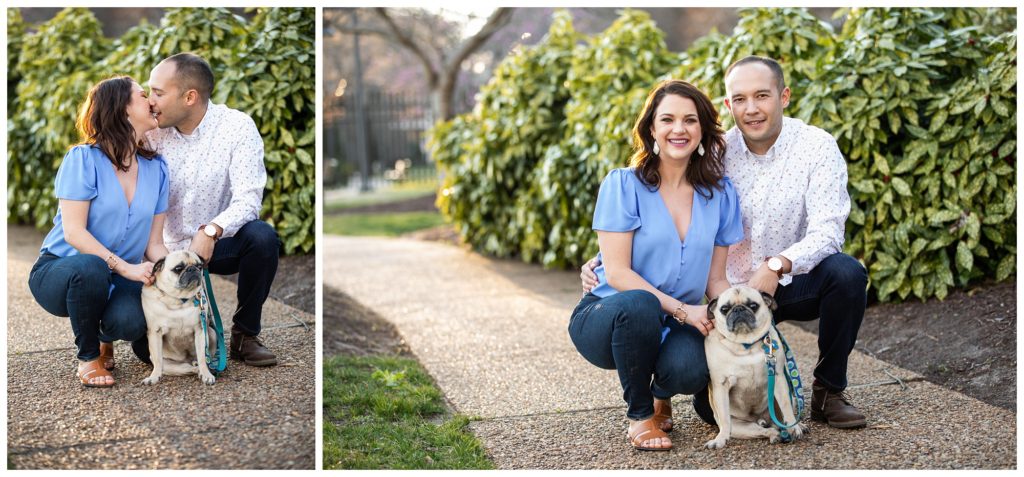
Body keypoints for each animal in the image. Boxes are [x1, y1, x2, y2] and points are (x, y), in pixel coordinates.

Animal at [141, 251, 217, 384]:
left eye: (199, 266)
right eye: (178, 268)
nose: (192, 269)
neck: (178, 300)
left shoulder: (200, 330)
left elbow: (203, 357)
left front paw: (206, 373)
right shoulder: (155, 332)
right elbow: (158, 360)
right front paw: (154, 376)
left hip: (212, 334)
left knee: (202, 360)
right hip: (169, 364)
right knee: (186, 368)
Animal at [704, 284, 806, 448]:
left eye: (753, 306)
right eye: (724, 309)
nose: (739, 309)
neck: (745, 345)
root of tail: (760, 419)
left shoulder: (778, 377)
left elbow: (786, 407)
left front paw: (794, 427)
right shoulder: (721, 385)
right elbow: (725, 419)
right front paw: (720, 439)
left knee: (779, 420)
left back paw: (794, 426)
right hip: (740, 427)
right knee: (766, 430)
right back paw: (774, 435)